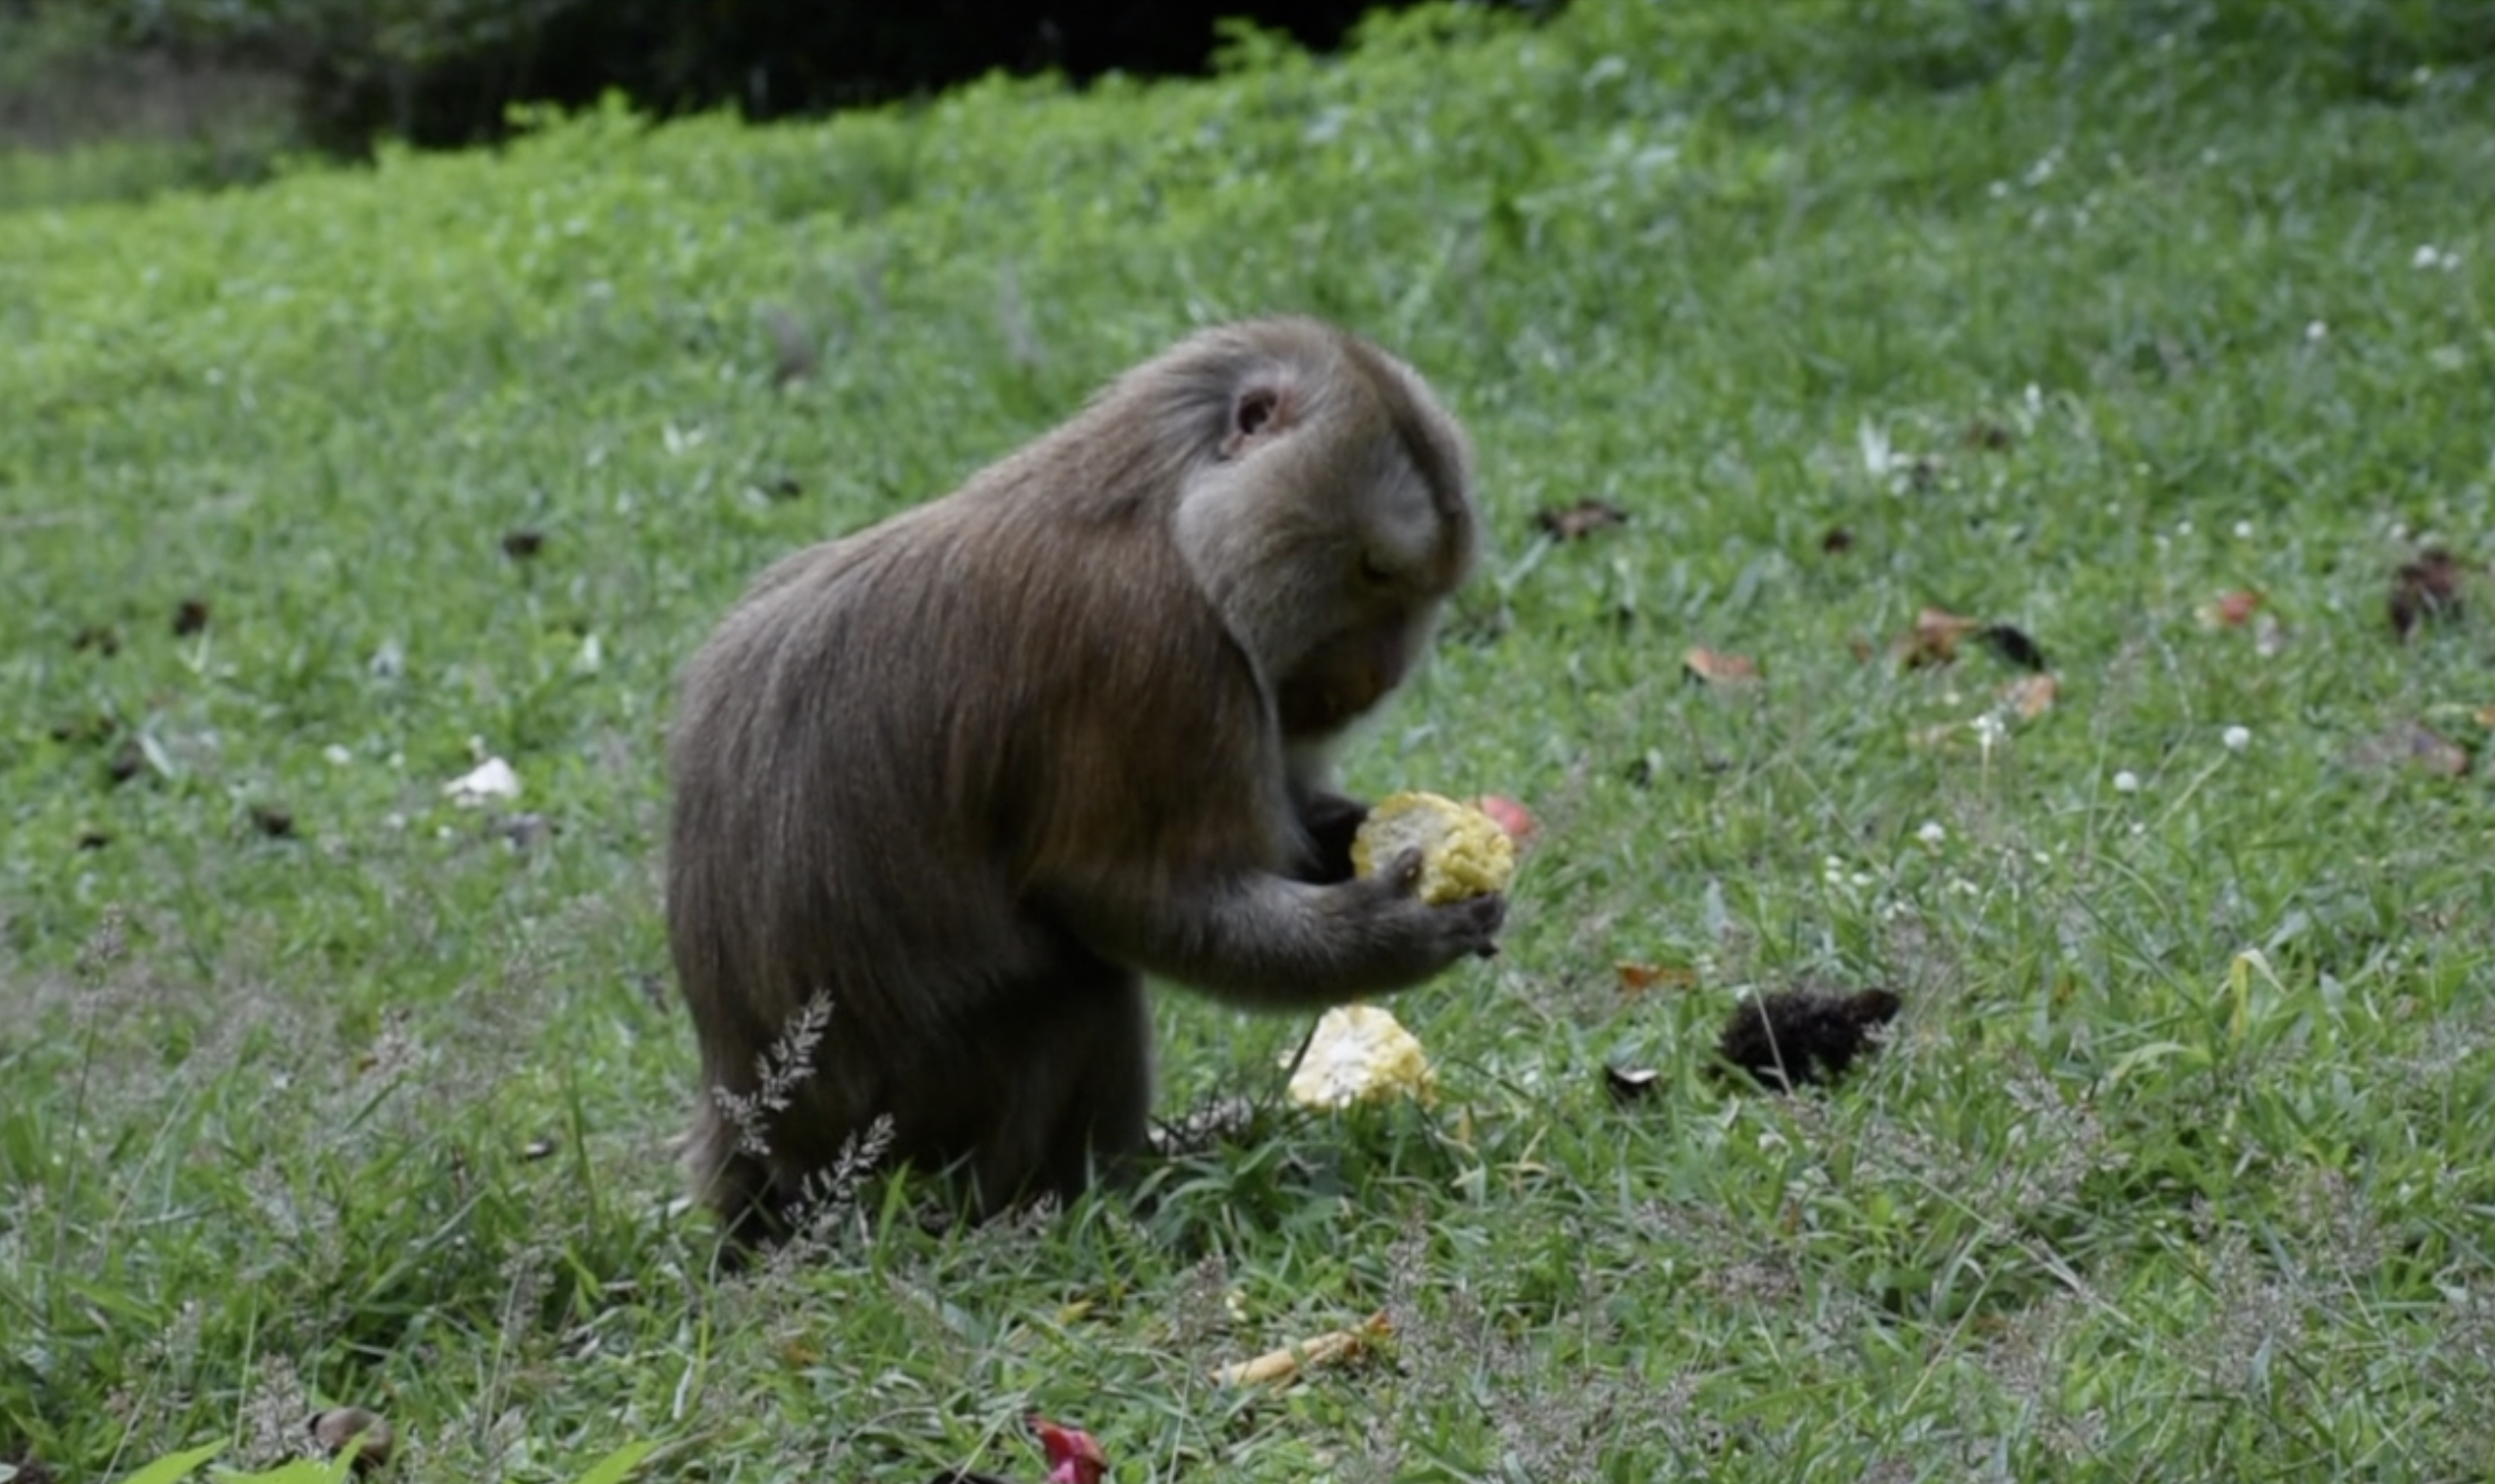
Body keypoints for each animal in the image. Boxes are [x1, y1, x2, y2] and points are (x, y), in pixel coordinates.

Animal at [663, 319, 1507, 1246]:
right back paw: (1097, 1201)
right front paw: (1390, 933)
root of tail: (757, 1148)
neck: (1166, 517)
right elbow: (1128, 896)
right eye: (1375, 571)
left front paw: (1359, 835)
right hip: (906, 1146)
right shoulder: (1155, 652)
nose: (1378, 678)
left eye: (1417, 589)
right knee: (1082, 989)